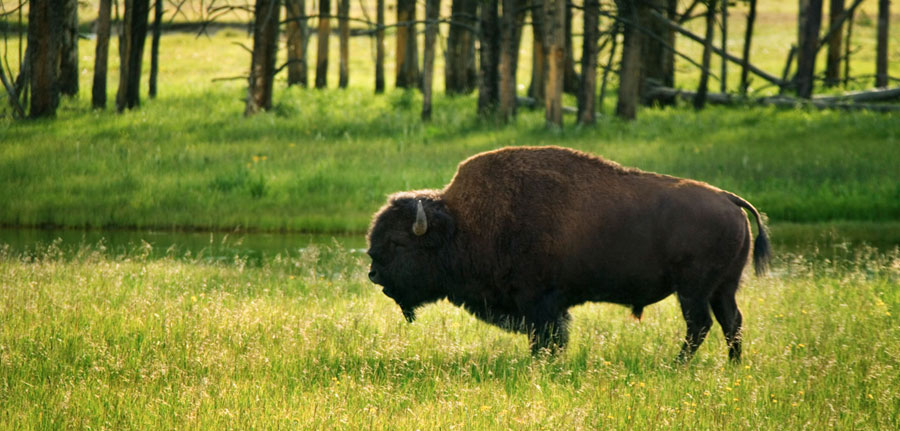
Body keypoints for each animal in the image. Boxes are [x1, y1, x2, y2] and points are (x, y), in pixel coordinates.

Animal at [366, 145, 768, 362]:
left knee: (699, 325)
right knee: (731, 322)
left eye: (398, 243)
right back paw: (732, 367)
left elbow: (546, 337)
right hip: (723, 288)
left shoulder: (539, 302)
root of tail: (729, 200)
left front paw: (542, 362)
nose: (373, 274)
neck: (462, 223)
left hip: (693, 290)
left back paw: (677, 364)